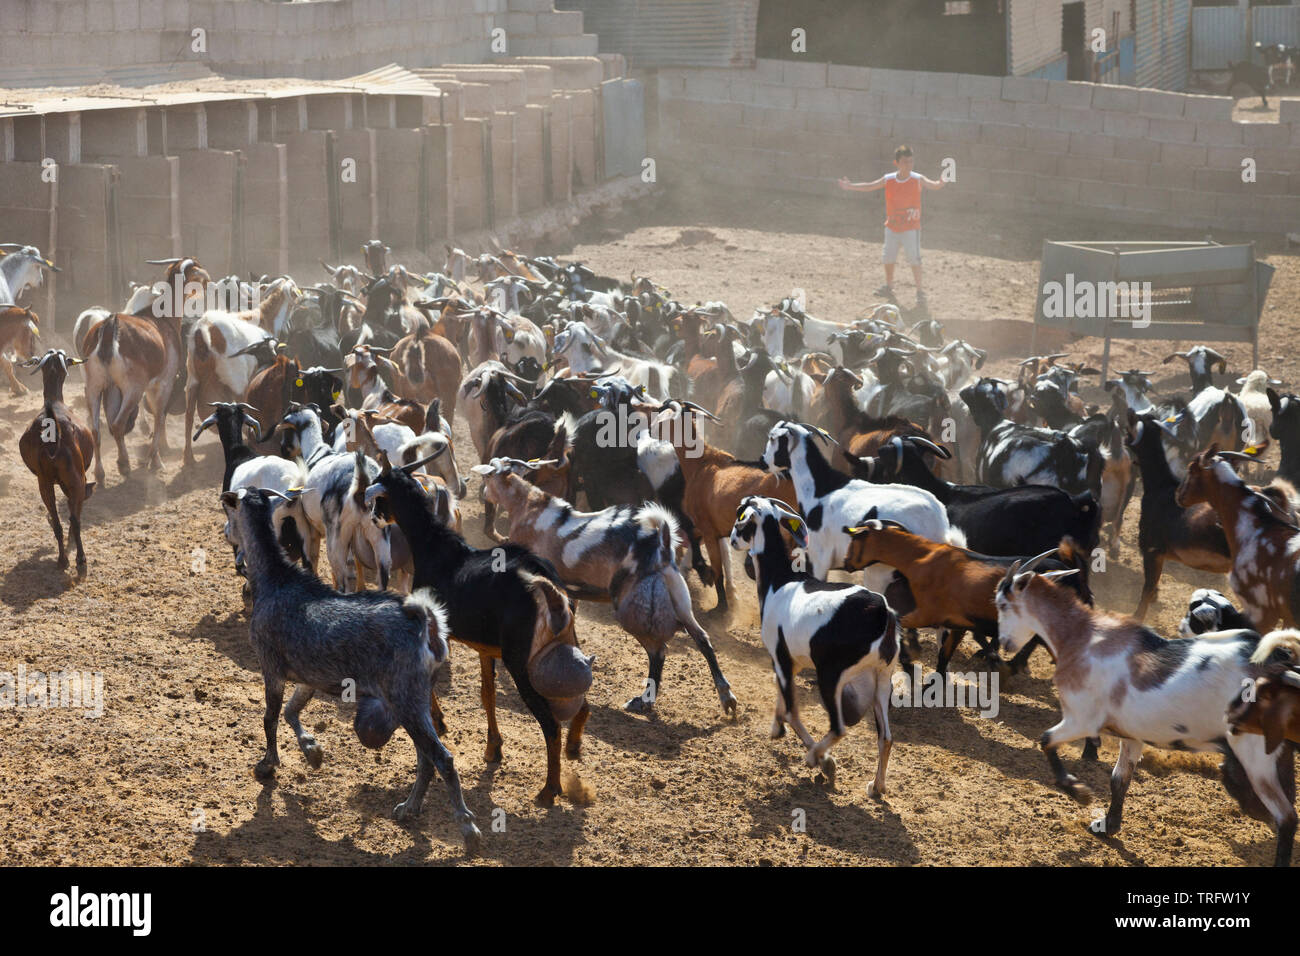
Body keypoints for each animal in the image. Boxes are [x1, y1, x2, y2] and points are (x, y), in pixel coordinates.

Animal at [17, 348, 94, 574]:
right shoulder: (78, 481)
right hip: (74, 479)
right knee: (74, 520)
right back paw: (80, 560)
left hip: (44, 482)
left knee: (58, 521)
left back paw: (62, 559)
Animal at [218, 486, 483, 853]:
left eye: (229, 513)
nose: (225, 534)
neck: (275, 580)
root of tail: (426, 622)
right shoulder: (308, 676)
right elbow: (291, 710)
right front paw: (313, 752)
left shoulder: (271, 666)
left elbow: (270, 717)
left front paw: (267, 765)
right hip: (413, 702)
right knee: (426, 759)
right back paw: (409, 808)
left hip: (406, 700)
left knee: (442, 759)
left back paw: (468, 828)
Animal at [475, 457, 743, 717]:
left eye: (488, 475)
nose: (482, 493)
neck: (528, 507)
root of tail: (662, 543)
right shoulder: (567, 592)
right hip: (679, 598)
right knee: (702, 640)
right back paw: (726, 698)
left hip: (630, 612)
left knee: (658, 651)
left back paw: (643, 701)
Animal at [733, 494, 904, 790]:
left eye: (739, 518)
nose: (732, 541)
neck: (780, 581)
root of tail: (882, 612)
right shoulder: (791, 662)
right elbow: (781, 696)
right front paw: (776, 729)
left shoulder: (780, 656)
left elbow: (792, 711)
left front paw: (824, 761)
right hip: (882, 678)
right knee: (886, 737)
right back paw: (876, 788)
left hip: (831, 675)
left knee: (839, 727)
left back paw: (816, 757)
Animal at [987, 561, 1294, 868]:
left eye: (1001, 604)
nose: (1003, 642)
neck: (1081, 637)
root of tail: (1277, 667)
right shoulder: (1131, 735)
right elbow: (1118, 780)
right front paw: (1107, 826)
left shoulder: (1080, 719)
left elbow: (1046, 740)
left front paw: (1079, 792)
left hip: (1254, 754)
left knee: (1286, 816)